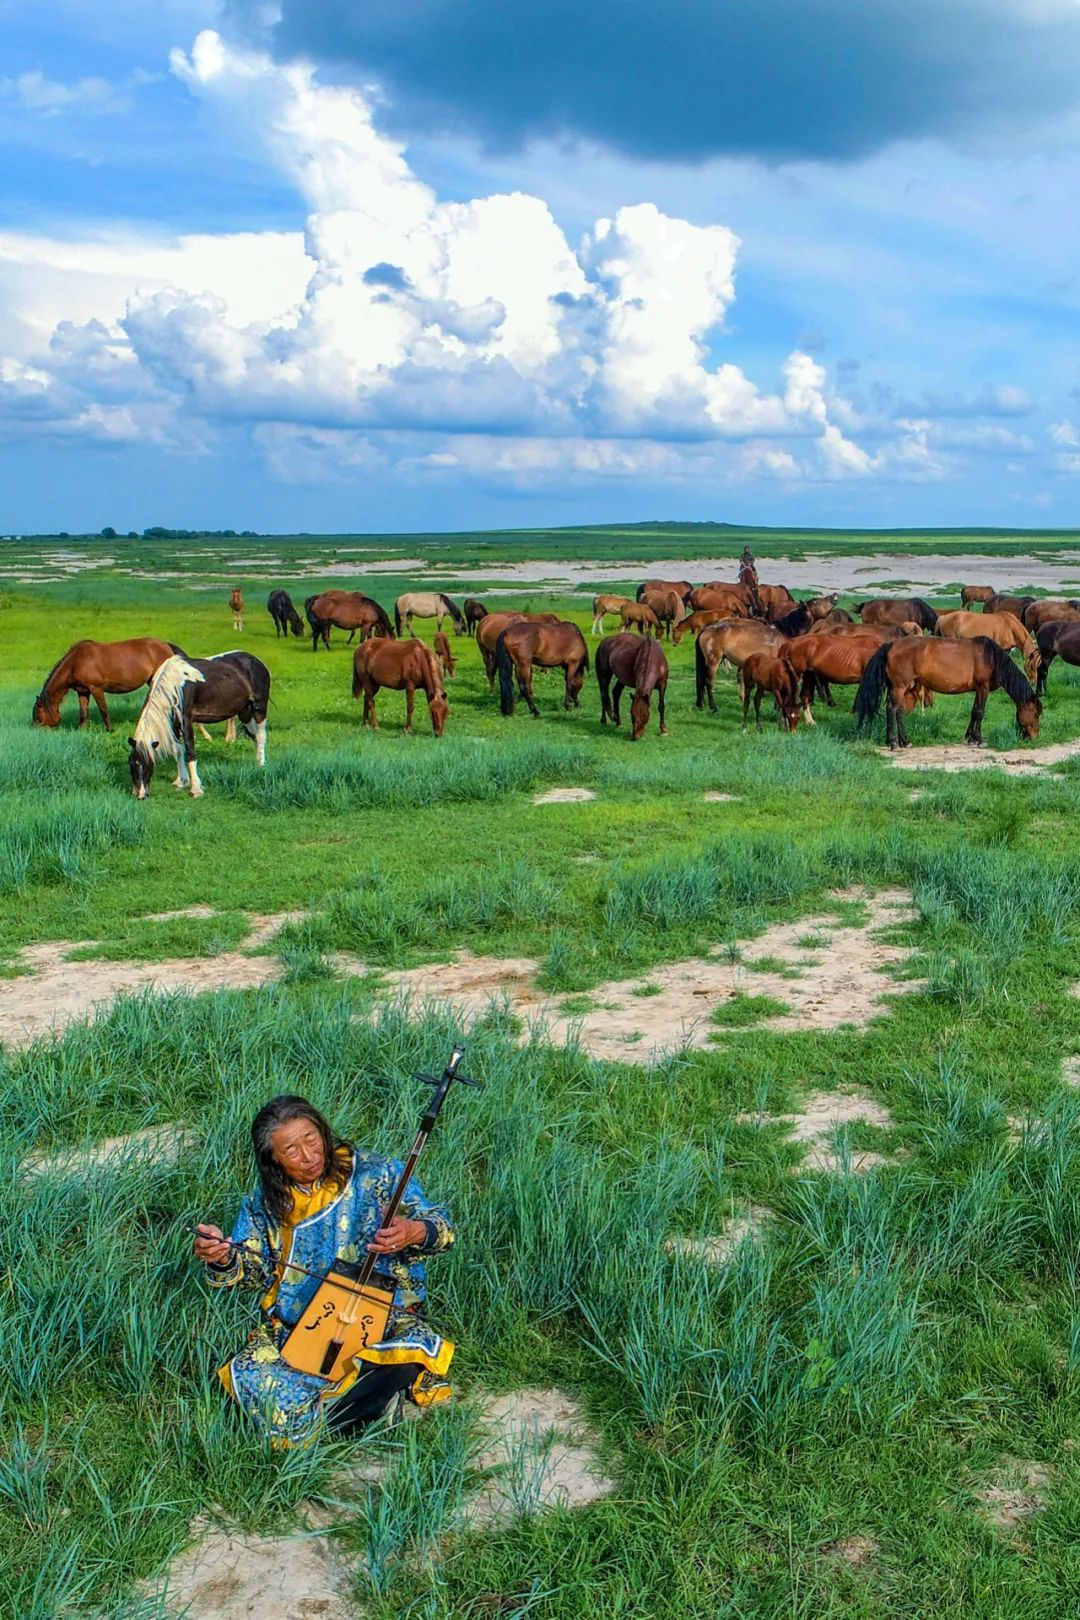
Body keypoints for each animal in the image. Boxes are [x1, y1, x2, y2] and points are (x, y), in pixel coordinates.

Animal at [31, 635, 181, 732]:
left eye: (38, 717)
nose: (36, 731)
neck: (75, 662)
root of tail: (167, 645)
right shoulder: (83, 691)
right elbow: (83, 712)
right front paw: (81, 731)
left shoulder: (96, 688)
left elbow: (103, 709)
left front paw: (110, 730)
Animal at [129, 644, 272, 797]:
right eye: (131, 764)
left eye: (146, 765)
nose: (140, 794)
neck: (175, 683)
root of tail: (258, 662)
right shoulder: (174, 723)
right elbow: (178, 750)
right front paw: (181, 781)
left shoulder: (186, 719)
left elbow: (190, 752)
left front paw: (196, 788)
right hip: (245, 712)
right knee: (254, 736)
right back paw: (257, 763)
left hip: (259, 708)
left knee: (261, 736)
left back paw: (262, 766)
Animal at [854, 631, 1042, 745]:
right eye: (1036, 714)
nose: (1034, 738)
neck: (991, 658)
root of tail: (891, 645)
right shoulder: (983, 687)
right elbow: (980, 712)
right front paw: (979, 739)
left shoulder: (978, 689)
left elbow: (974, 711)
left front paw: (969, 737)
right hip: (900, 687)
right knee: (892, 710)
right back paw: (893, 742)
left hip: (900, 688)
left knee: (899, 711)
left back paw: (904, 741)